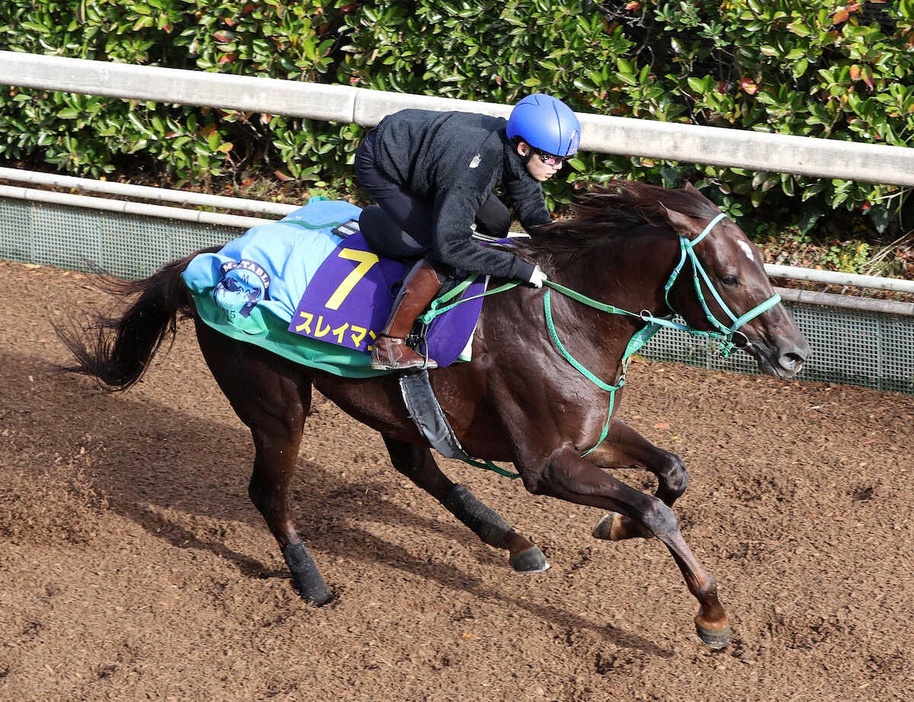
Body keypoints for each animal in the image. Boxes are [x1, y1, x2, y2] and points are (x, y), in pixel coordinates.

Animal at [57, 180, 804, 648]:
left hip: (388, 402)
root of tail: (206, 262)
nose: (794, 354)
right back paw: (311, 580)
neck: (567, 310)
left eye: (764, 265)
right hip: (276, 404)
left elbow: (672, 472)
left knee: (415, 462)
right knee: (270, 491)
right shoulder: (546, 464)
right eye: (730, 276)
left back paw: (511, 539)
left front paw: (614, 526)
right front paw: (711, 613)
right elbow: (657, 508)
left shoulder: (589, 434)